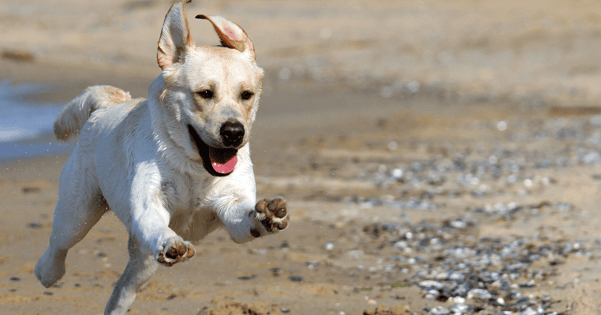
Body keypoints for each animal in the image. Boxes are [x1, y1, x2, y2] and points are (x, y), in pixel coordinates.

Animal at [34, 1, 290, 314]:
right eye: (205, 93)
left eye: (247, 95)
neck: (196, 169)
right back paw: (47, 273)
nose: (233, 132)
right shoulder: (149, 206)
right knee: (58, 245)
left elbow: (246, 219)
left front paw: (267, 216)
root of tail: (108, 105)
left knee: (123, 288)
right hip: (78, 213)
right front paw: (171, 243)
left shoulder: (231, 205)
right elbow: (158, 226)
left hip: (142, 262)